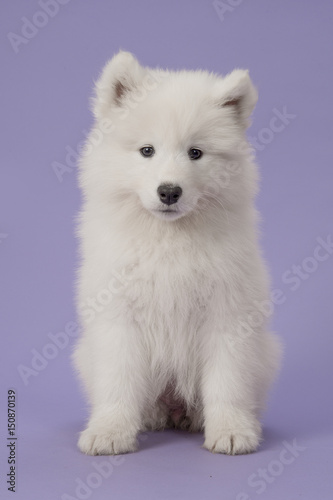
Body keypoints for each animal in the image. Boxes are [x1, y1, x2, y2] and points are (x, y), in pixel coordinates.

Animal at [72, 51, 280, 458]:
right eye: (147, 151)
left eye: (195, 153)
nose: (169, 191)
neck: (169, 239)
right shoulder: (119, 316)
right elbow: (118, 382)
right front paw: (109, 432)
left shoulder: (226, 314)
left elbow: (227, 382)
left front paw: (231, 431)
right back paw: (152, 416)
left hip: (265, 353)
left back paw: (196, 418)